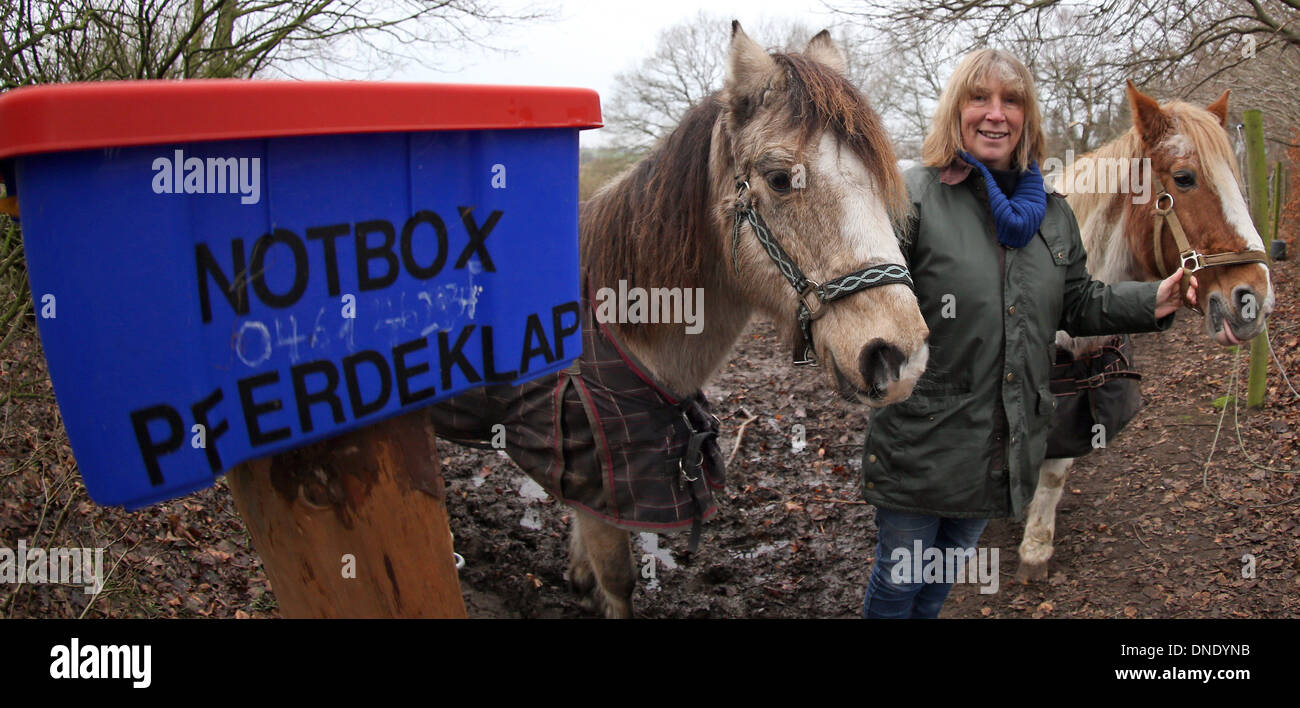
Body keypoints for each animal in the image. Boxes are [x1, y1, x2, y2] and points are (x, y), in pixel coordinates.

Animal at [432, 23, 930, 617]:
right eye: (780, 178)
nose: (897, 356)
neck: (621, 331)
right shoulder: (603, 487)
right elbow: (620, 580)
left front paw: (577, 576)